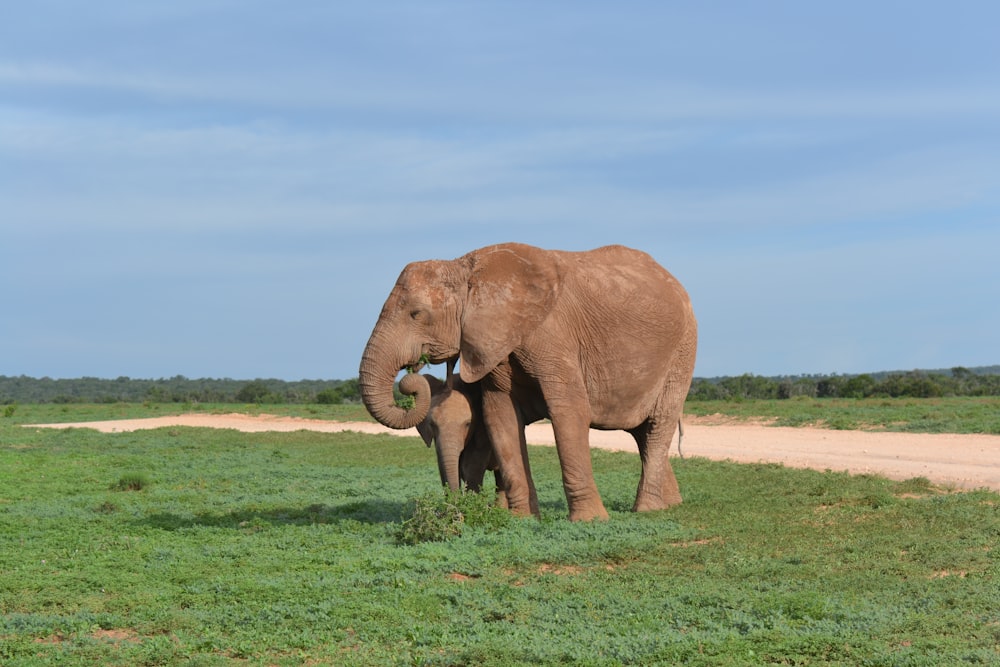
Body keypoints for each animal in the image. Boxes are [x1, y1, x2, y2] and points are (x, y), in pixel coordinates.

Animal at [360, 241, 696, 520]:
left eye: (416, 314)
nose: (411, 376)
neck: (468, 269)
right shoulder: (494, 346)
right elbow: (500, 416)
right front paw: (521, 519)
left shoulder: (554, 334)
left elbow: (569, 411)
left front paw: (590, 520)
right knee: (643, 432)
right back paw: (671, 504)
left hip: (682, 351)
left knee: (658, 424)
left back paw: (647, 510)